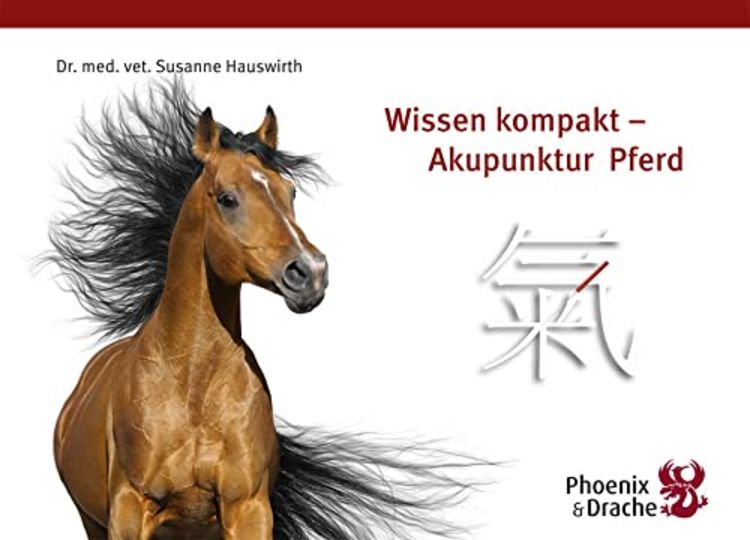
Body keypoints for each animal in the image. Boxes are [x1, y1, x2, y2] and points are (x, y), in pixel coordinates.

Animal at [47, 80, 489, 539]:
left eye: (289, 191)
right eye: (227, 198)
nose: (310, 272)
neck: (192, 390)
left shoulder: (248, 508)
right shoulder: (130, 511)